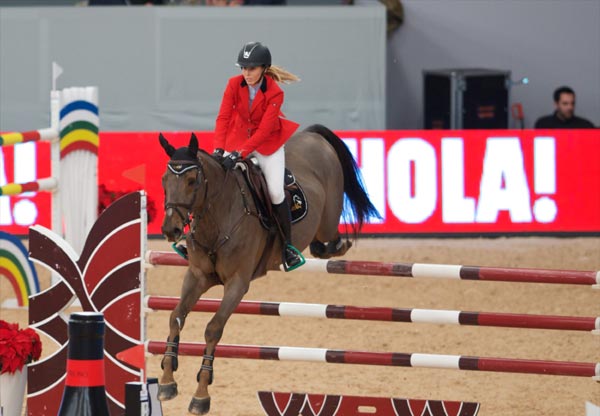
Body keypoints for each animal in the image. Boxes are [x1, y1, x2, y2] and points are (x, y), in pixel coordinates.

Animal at [157, 124, 378, 416]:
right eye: (164, 180)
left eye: (192, 180)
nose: (170, 230)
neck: (218, 217)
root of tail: (311, 135)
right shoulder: (197, 276)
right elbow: (176, 317)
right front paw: (166, 381)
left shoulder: (237, 283)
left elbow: (213, 329)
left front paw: (201, 395)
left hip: (328, 219)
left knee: (332, 238)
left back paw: (327, 247)